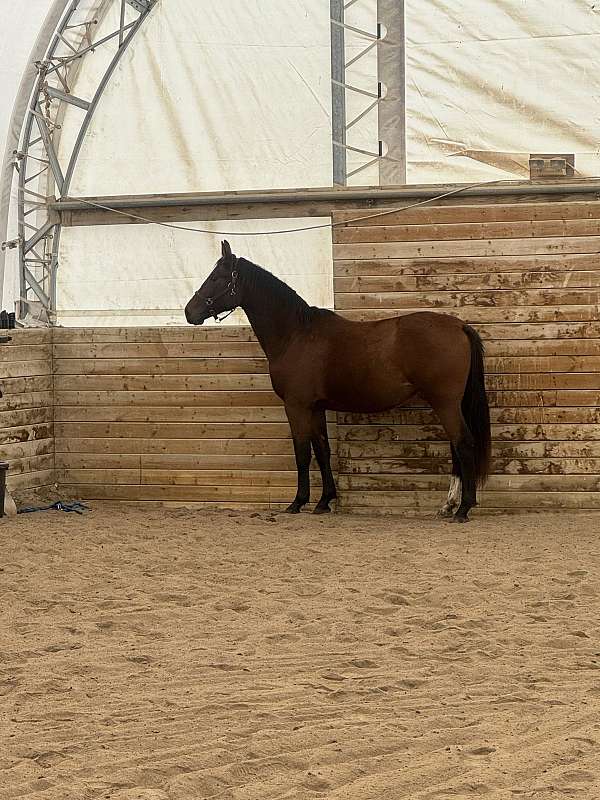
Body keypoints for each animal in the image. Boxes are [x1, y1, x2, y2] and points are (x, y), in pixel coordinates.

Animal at [185, 241, 491, 522]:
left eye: (216, 278)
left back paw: (463, 509)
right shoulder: (316, 407)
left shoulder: (296, 406)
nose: (190, 312)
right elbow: (322, 450)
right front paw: (324, 501)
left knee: (463, 444)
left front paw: (298, 502)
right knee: (456, 447)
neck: (296, 335)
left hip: (445, 403)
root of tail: (458, 326)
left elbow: (302, 452)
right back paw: (449, 505)